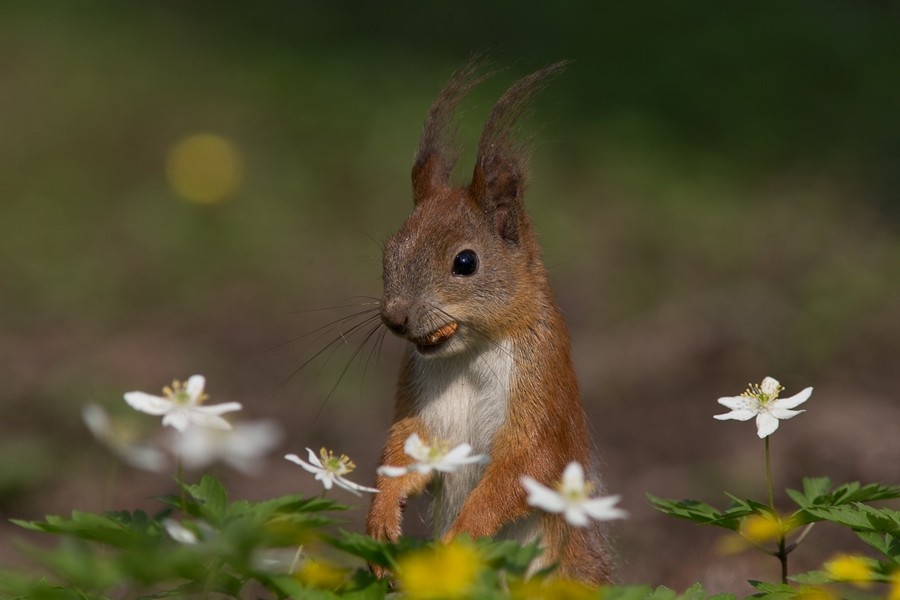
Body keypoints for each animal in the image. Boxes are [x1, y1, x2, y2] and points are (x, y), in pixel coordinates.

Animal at [366, 63, 612, 584]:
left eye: (465, 262)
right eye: (389, 251)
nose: (395, 317)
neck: (469, 355)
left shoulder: (540, 384)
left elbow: (529, 463)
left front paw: (462, 535)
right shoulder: (419, 400)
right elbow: (404, 449)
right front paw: (381, 515)